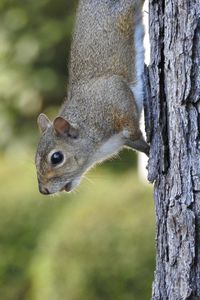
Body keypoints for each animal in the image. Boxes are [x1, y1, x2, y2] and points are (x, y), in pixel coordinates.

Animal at [35, 0, 149, 195]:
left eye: (56, 158)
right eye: (36, 158)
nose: (43, 191)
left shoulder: (114, 92)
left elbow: (130, 125)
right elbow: (139, 145)